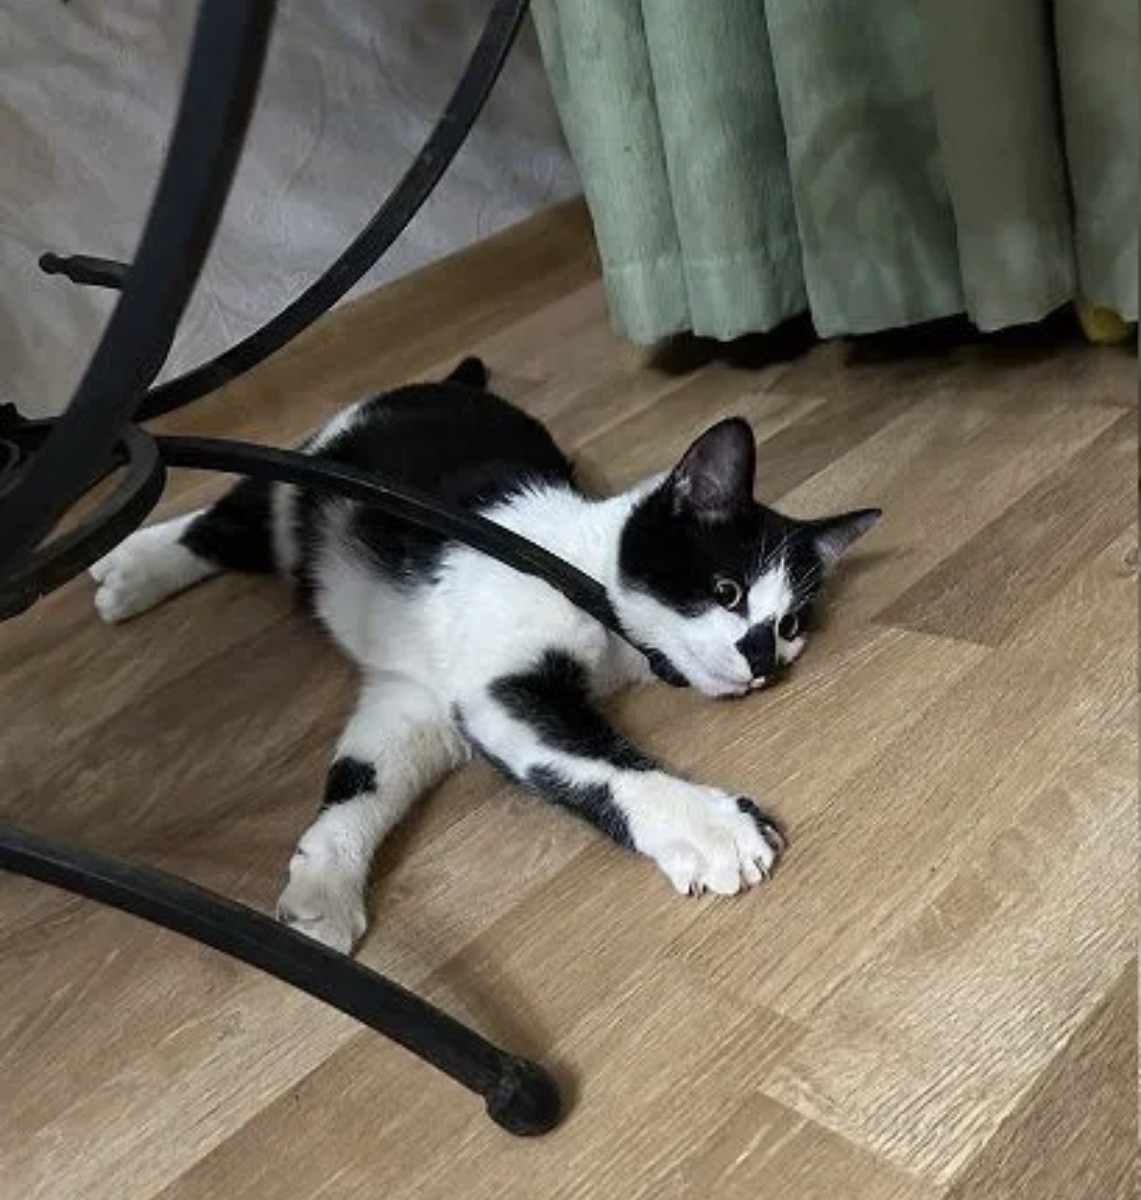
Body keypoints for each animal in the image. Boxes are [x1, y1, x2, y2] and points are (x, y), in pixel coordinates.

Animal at [90, 357, 880, 953]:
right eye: (727, 590)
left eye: (792, 623)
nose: (763, 659)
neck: (577, 567)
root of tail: (442, 382)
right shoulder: (501, 684)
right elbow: (594, 761)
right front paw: (709, 826)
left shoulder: (417, 700)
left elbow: (363, 781)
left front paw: (324, 885)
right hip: (306, 482)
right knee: (229, 518)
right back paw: (133, 564)